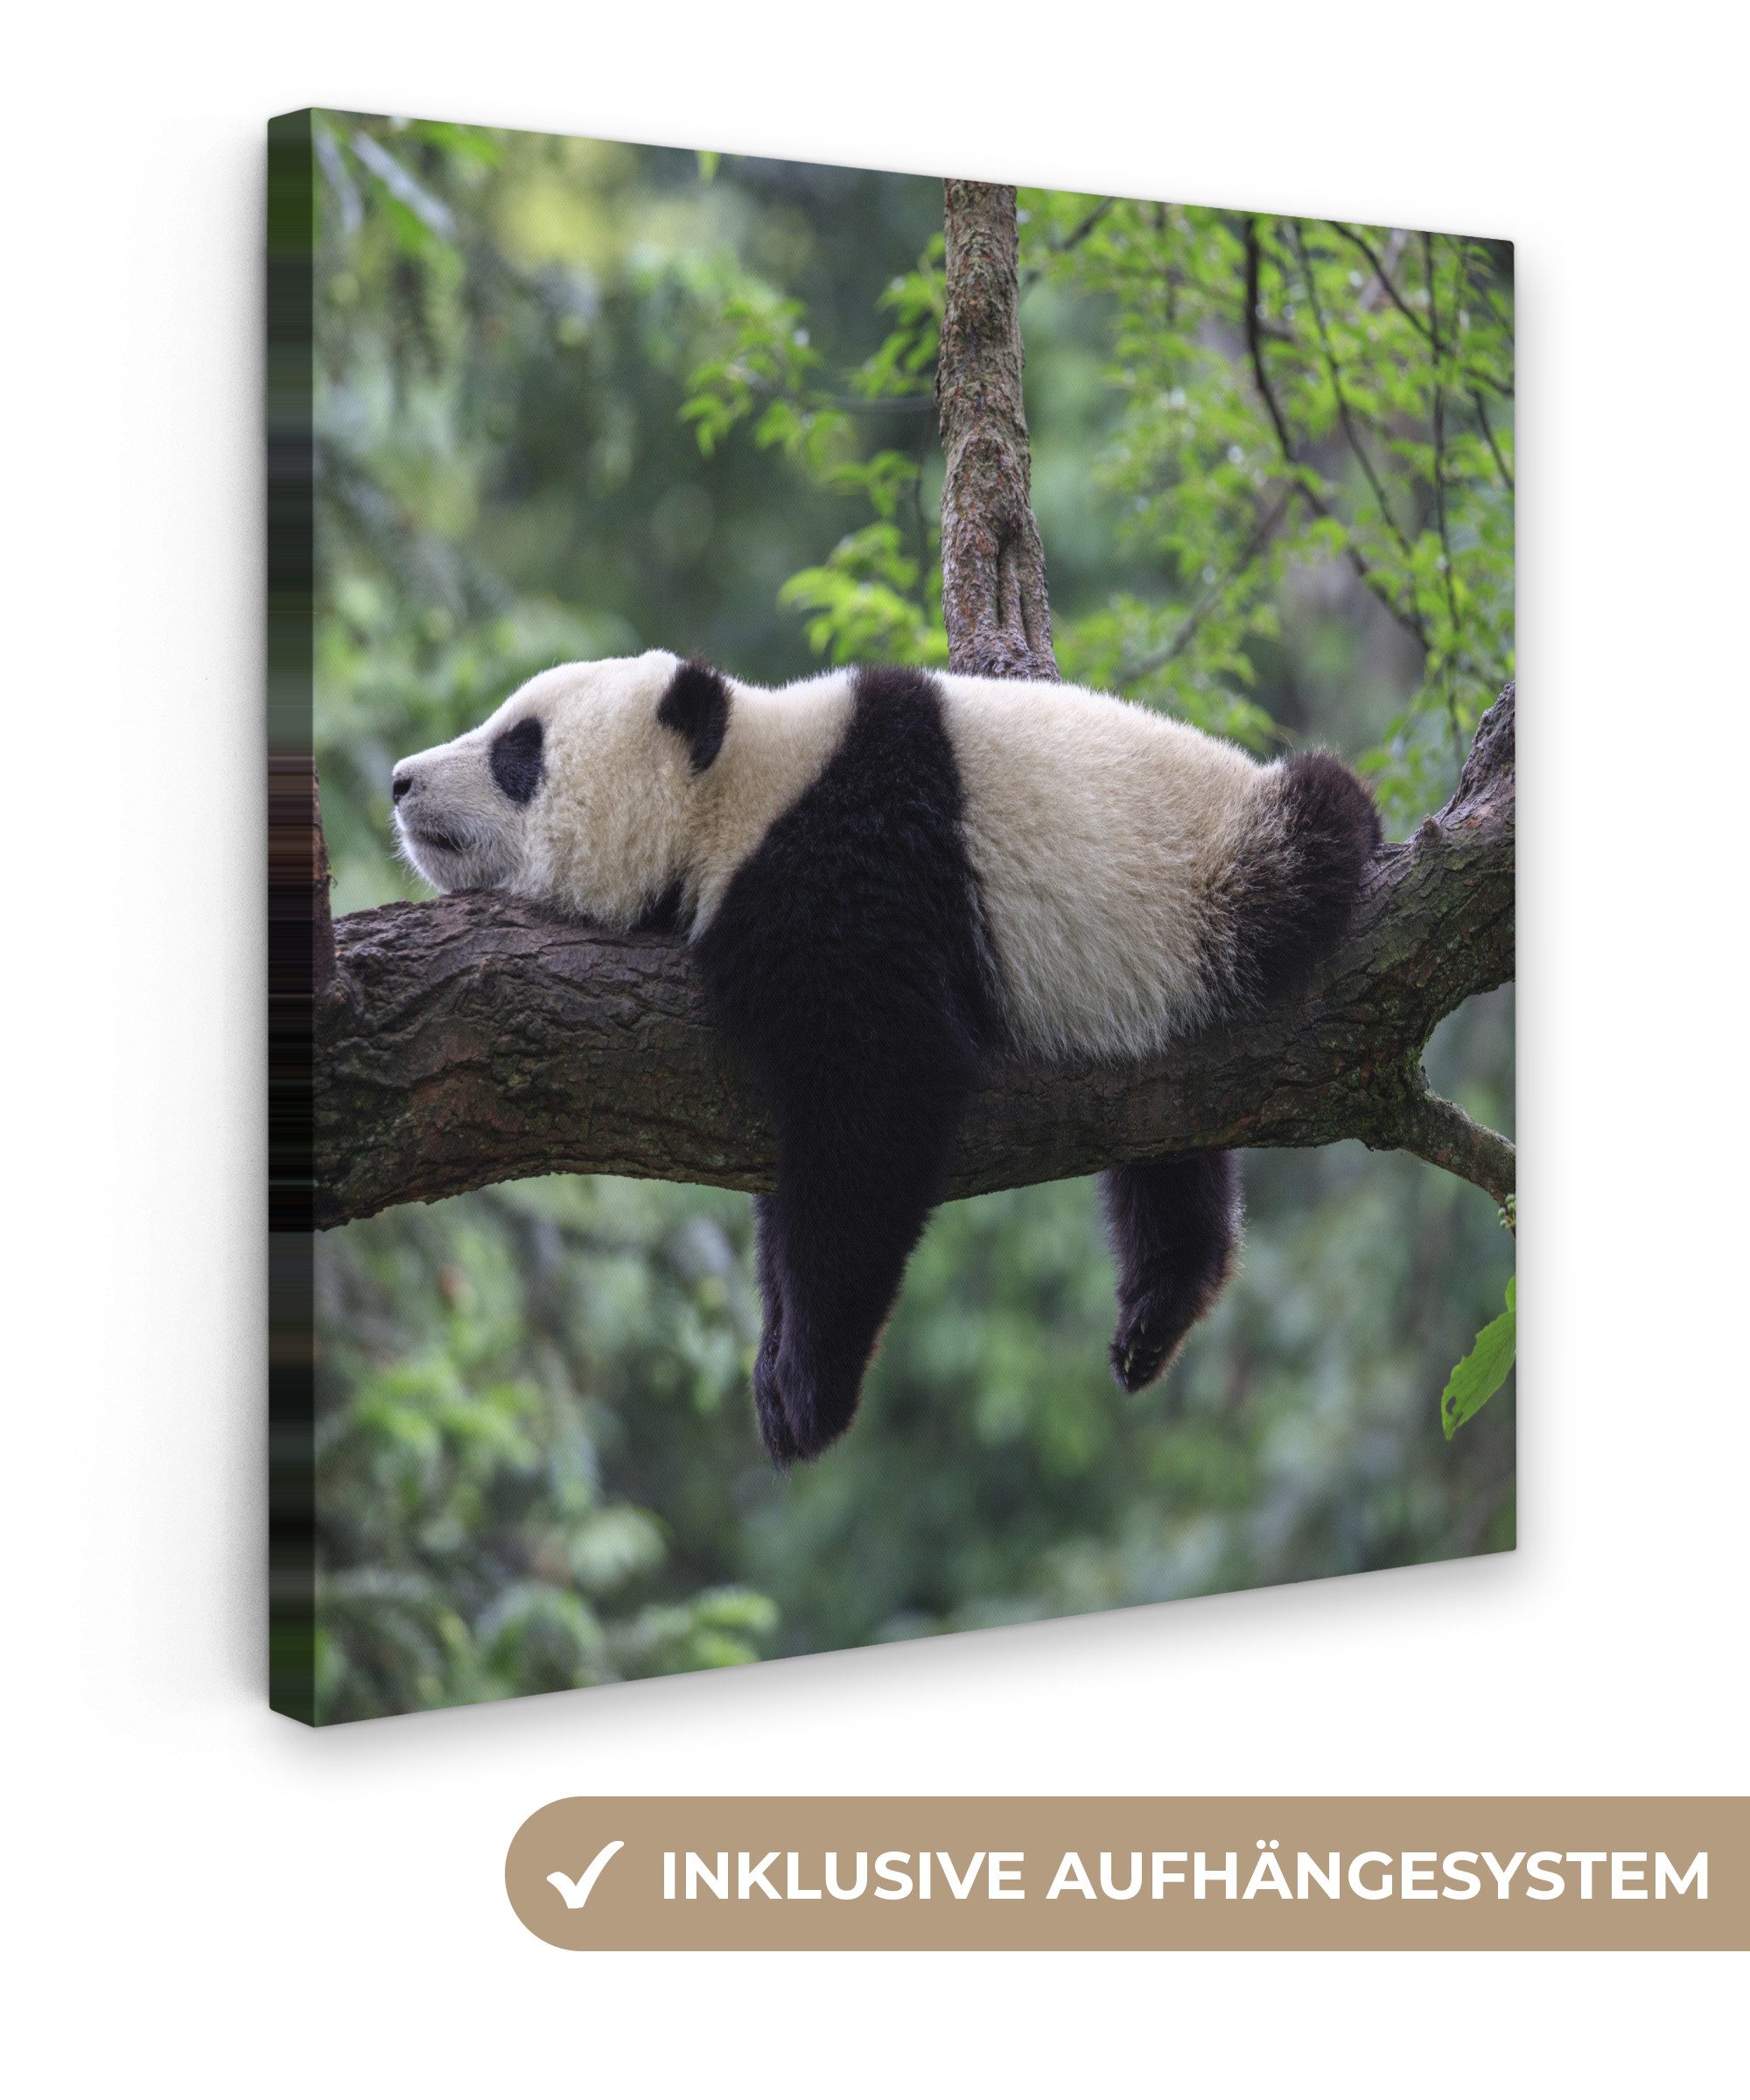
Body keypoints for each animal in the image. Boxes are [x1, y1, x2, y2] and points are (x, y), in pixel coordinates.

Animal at [392, 649, 1380, 1465]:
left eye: (518, 752)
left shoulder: (850, 874)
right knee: (1170, 1143)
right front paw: (775, 1359)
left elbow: (874, 1108)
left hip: (1214, 882)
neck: (738, 791)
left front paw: (805, 1391)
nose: (400, 781)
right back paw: (1159, 1307)